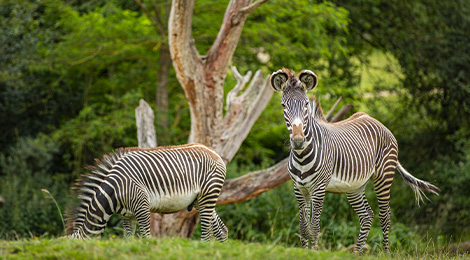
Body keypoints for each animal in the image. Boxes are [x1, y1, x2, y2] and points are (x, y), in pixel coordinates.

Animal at [65, 143, 228, 241]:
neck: (114, 191)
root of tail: (211, 151)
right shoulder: (127, 215)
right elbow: (128, 240)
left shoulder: (141, 206)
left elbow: (146, 237)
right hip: (200, 200)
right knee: (221, 230)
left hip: (208, 195)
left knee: (207, 235)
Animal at [270, 68, 438, 253]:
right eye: (283, 105)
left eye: (306, 104)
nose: (298, 140)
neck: (301, 156)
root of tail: (374, 119)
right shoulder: (299, 189)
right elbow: (302, 228)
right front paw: (305, 252)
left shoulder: (319, 189)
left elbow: (313, 228)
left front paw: (313, 252)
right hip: (354, 186)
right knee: (367, 215)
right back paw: (357, 253)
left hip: (383, 176)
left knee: (385, 215)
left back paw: (385, 252)